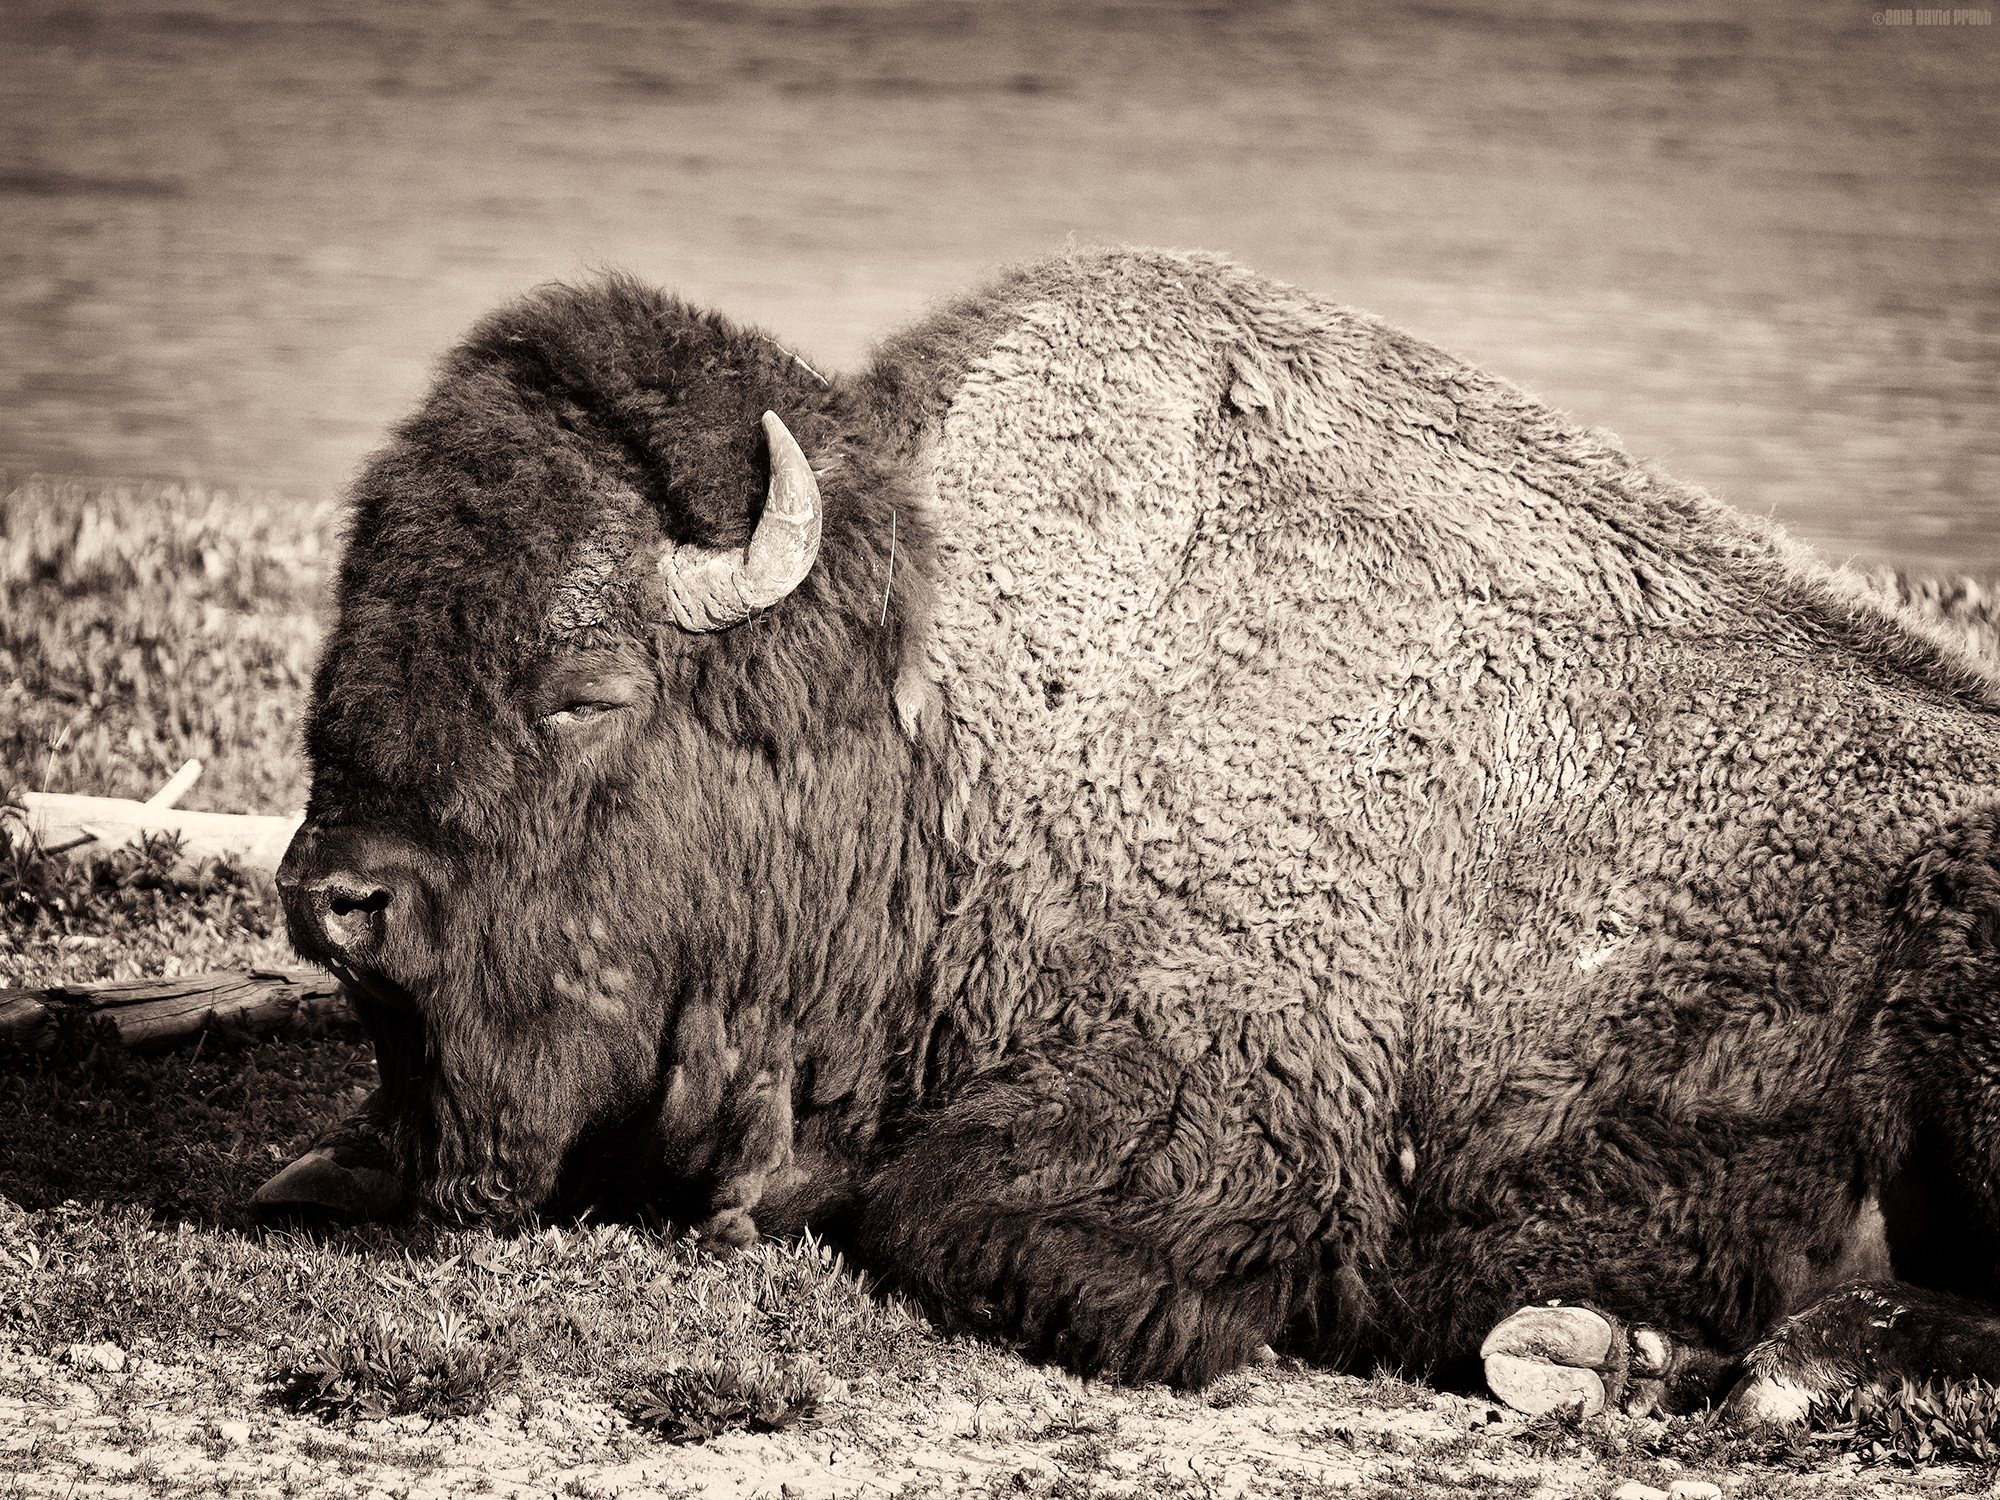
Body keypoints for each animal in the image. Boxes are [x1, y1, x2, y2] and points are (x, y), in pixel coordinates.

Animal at [263, 247, 2000, 1421]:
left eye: (584, 692)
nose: (331, 899)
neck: (941, 723)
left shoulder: (1232, 1097)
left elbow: (934, 1210)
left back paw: (1644, 1354)